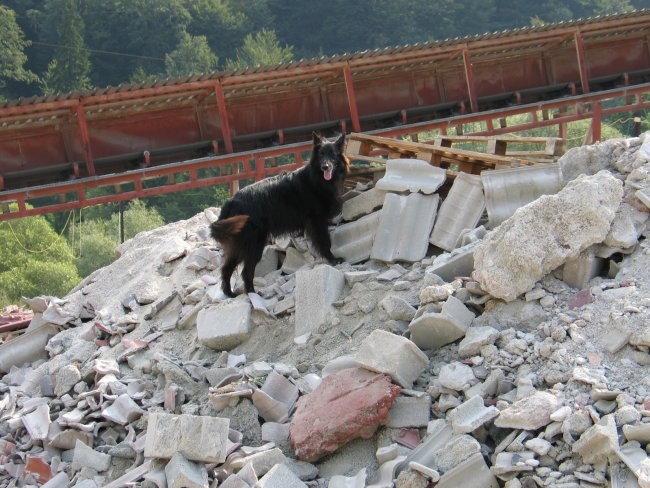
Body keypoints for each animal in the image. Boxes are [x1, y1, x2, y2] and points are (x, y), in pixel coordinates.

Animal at [210, 132, 346, 296]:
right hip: (254, 244)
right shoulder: (317, 221)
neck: (316, 179)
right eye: (321, 154)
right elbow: (325, 242)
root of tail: (230, 202)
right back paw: (253, 293)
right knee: (246, 271)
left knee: (227, 268)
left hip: (241, 246)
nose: (325, 166)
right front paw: (332, 260)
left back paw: (229, 294)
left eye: (332, 154)